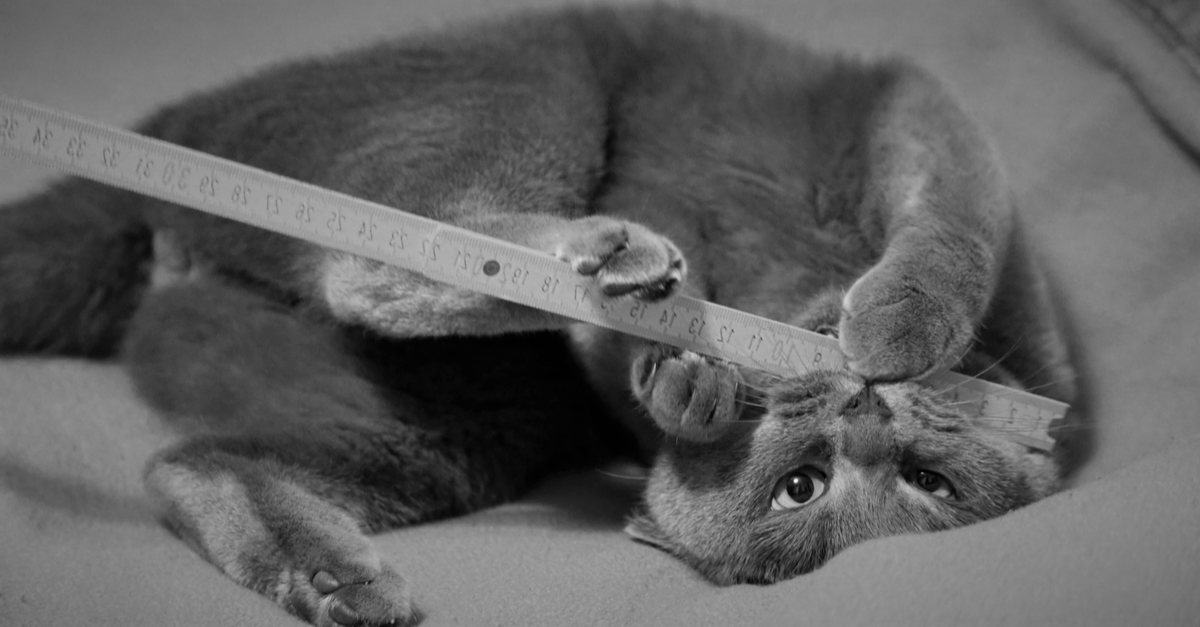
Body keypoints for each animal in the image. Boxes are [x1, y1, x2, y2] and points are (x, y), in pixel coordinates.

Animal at [0, 2, 1080, 619]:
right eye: (807, 483)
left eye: (929, 484)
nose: (864, 412)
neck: (789, 292)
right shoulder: (913, 116)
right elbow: (954, 213)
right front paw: (891, 324)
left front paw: (690, 389)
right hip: (523, 79)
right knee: (397, 239)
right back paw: (616, 254)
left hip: (460, 427)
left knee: (200, 447)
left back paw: (334, 582)